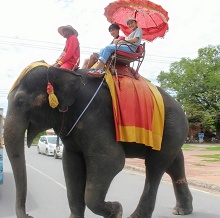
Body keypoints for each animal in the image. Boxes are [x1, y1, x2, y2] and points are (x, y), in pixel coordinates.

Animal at [3, 63, 192, 218]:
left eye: (20, 101)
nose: (29, 215)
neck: (60, 70)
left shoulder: (95, 117)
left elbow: (111, 161)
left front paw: (116, 210)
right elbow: (71, 165)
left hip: (173, 125)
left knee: (155, 166)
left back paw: (136, 215)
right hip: (173, 132)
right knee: (174, 163)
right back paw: (182, 210)